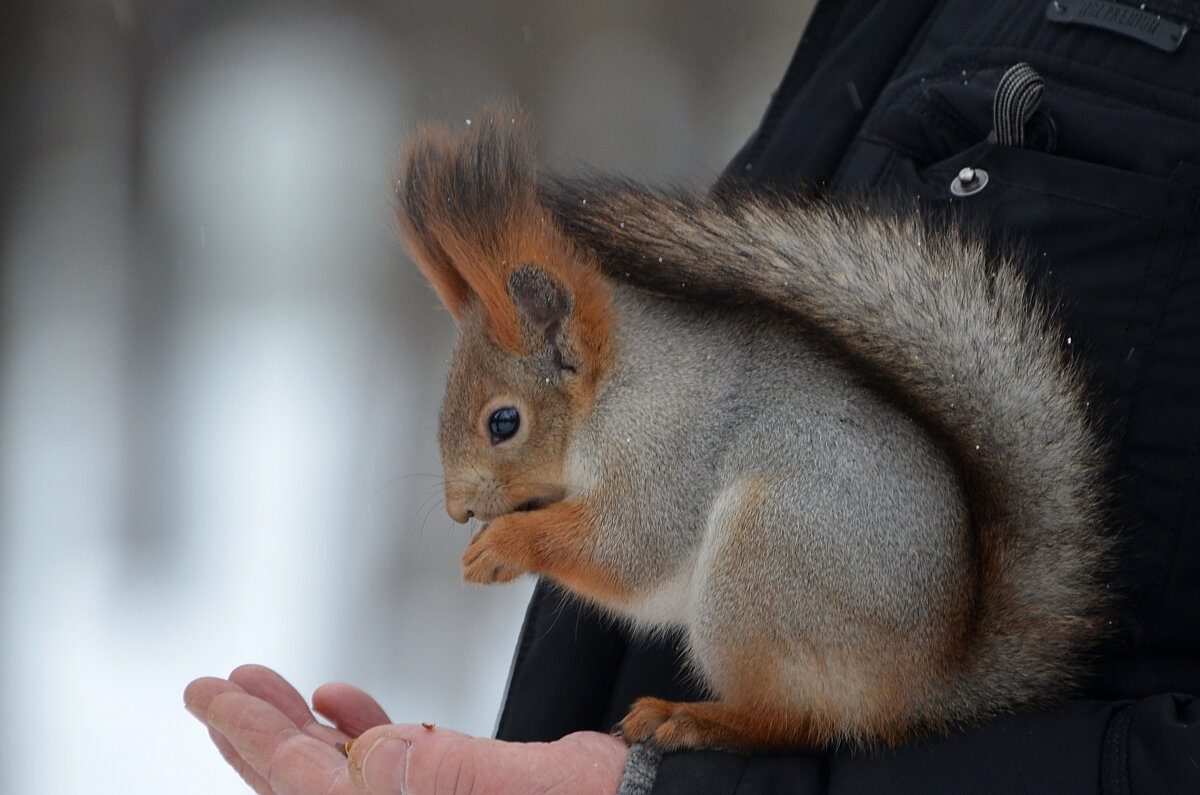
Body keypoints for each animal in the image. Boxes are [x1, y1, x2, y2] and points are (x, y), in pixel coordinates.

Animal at [396, 105, 1113, 754]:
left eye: (504, 422)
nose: (459, 509)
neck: (618, 391)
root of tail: (926, 683)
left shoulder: (665, 453)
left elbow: (625, 547)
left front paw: (503, 546)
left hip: (765, 567)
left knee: (795, 722)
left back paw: (691, 719)